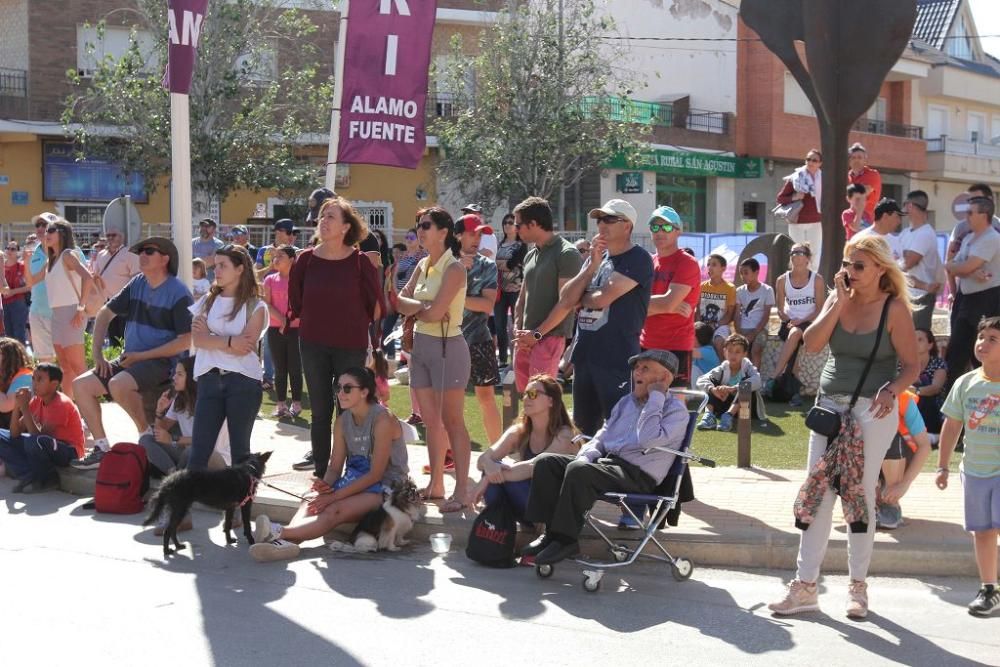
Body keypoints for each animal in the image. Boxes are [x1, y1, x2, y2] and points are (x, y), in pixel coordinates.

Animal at [143, 452, 272, 556]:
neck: (248, 469)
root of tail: (169, 480)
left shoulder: (230, 508)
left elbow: (228, 525)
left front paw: (229, 540)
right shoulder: (246, 505)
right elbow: (247, 525)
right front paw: (251, 541)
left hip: (179, 509)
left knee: (173, 530)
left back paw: (178, 546)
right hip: (180, 509)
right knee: (168, 531)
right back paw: (167, 551)